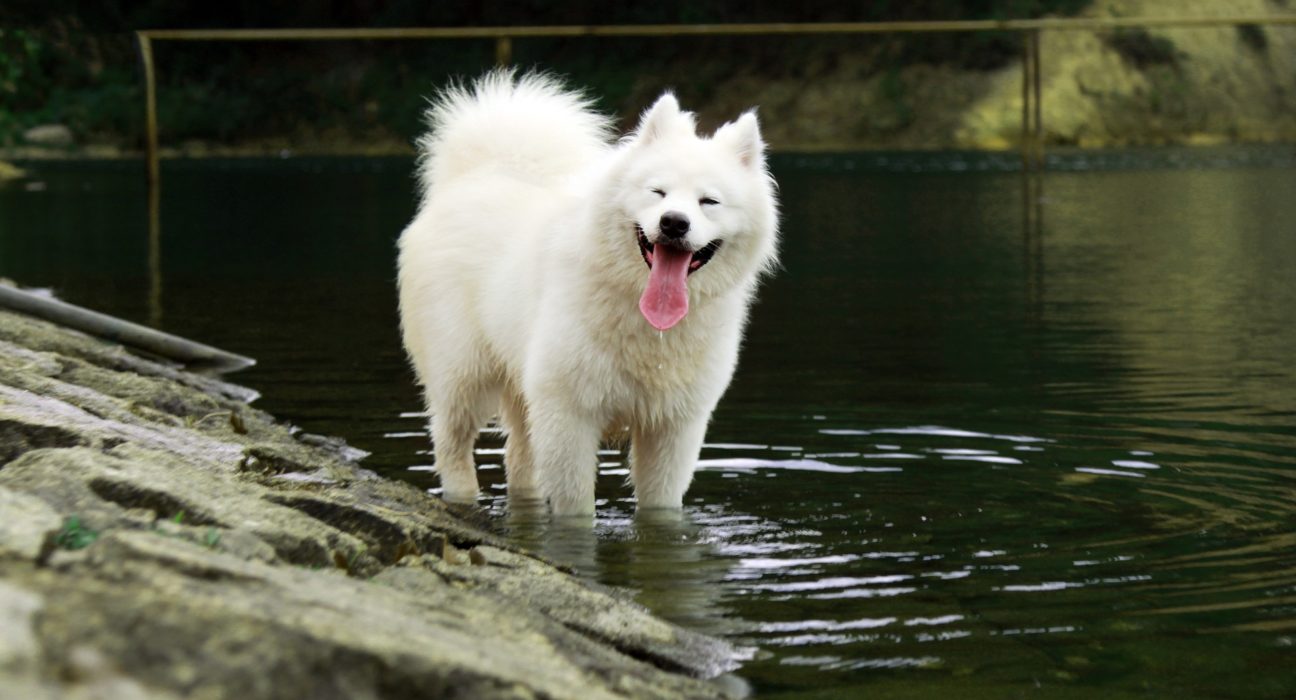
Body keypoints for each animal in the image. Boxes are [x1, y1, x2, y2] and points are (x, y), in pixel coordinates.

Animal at [393, 72, 777, 518]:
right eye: (658, 192)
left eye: (709, 201)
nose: (674, 223)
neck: (644, 319)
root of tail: (478, 174)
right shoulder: (569, 415)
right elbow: (576, 510)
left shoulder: (672, 427)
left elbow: (660, 509)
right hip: (463, 375)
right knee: (452, 444)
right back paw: (462, 497)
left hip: (523, 388)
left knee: (519, 459)